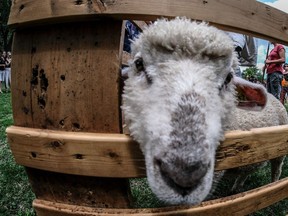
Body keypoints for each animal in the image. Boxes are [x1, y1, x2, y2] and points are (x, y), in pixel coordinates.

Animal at [122, 17, 288, 205]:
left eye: (228, 78)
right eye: (138, 64)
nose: (184, 174)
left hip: (279, 149)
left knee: (277, 168)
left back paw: (272, 187)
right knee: (246, 170)